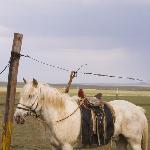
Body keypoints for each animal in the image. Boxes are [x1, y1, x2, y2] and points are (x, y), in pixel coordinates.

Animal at [13, 79, 148, 149]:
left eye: (30, 95)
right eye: (21, 94)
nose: (17, 117)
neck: (61, 115)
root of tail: (138, 109)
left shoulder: (67, 146)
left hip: (134, 142)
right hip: (121, 140)